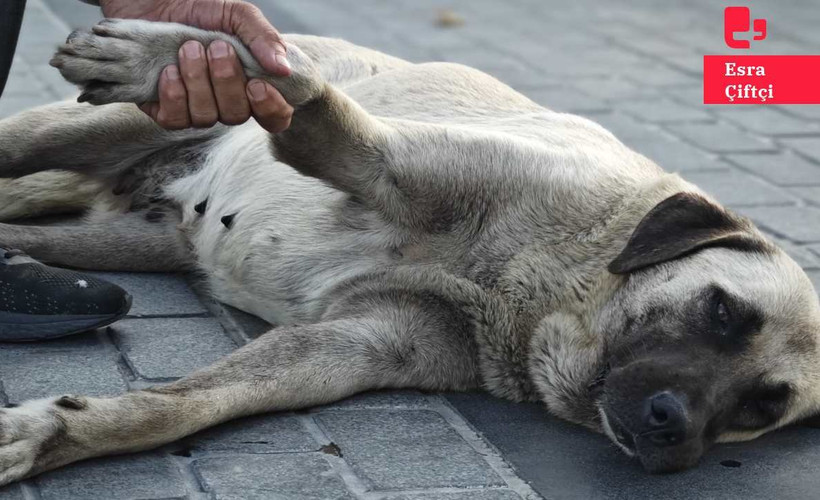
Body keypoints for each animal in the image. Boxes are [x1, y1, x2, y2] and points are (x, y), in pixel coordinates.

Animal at [0, 17, 816, 482]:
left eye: (762, 405)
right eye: (721, 311)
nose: (673, 426)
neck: (535, 291)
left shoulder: (352, 343)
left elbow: (185, 405)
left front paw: (56, 434)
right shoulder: (378, 159)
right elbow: (299, 89)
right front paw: (163, 53)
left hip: (127, 241)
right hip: (66, 137)